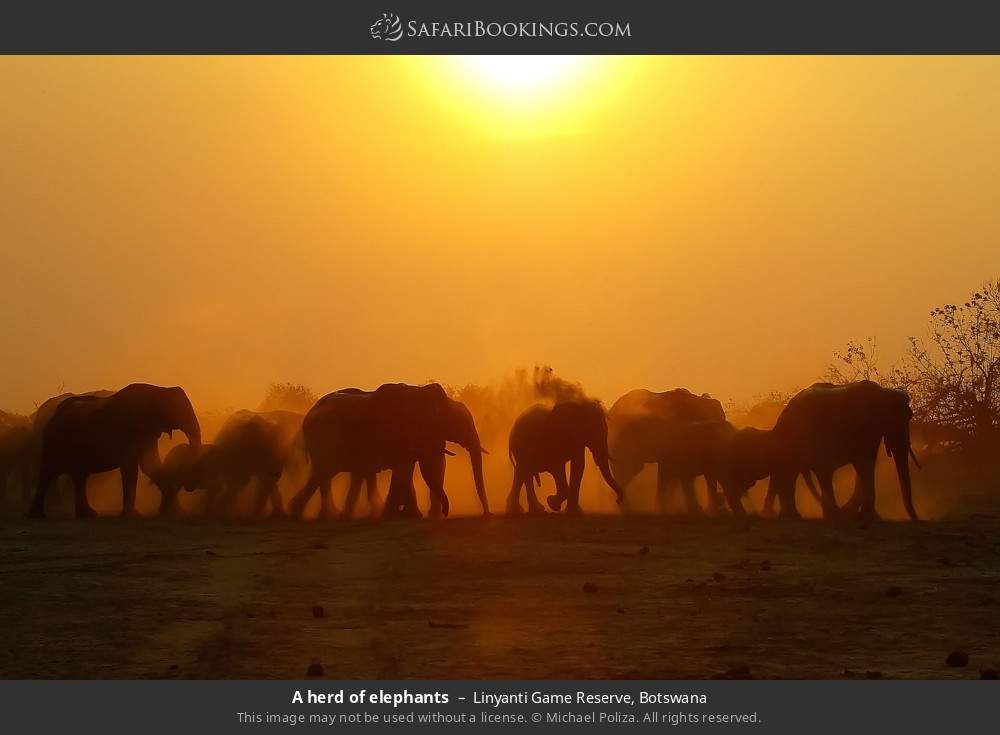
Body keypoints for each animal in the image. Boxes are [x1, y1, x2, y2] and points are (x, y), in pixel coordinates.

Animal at [28, 384, 201, 518]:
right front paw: (133, 516)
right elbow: (132, 467)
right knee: (49, 473)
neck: (159, 389)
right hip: (55, 442)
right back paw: (38, 515)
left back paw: (87, 515)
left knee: (79, 476)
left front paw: (176, 512)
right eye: (181, 412)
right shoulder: (132, 429)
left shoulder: (147, 431)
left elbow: (150, 464)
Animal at [288, 383, 489, 520]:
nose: (488, 514)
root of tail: (308, 415)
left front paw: (410, 515)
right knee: (323, 472)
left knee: (323, 473)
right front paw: (395, 515)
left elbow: (408, 469)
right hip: (323, 439)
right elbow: (405, 469)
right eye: (460, 423)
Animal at [764, 381, 918, 520]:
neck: (882, 393)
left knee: (794, 472)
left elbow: (868, 462)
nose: (916, 519)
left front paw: (869, 516)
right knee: (812, 471)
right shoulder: (863, 427)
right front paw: (868, 517)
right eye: (889, 419)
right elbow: (864, 463)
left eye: (909, 416)